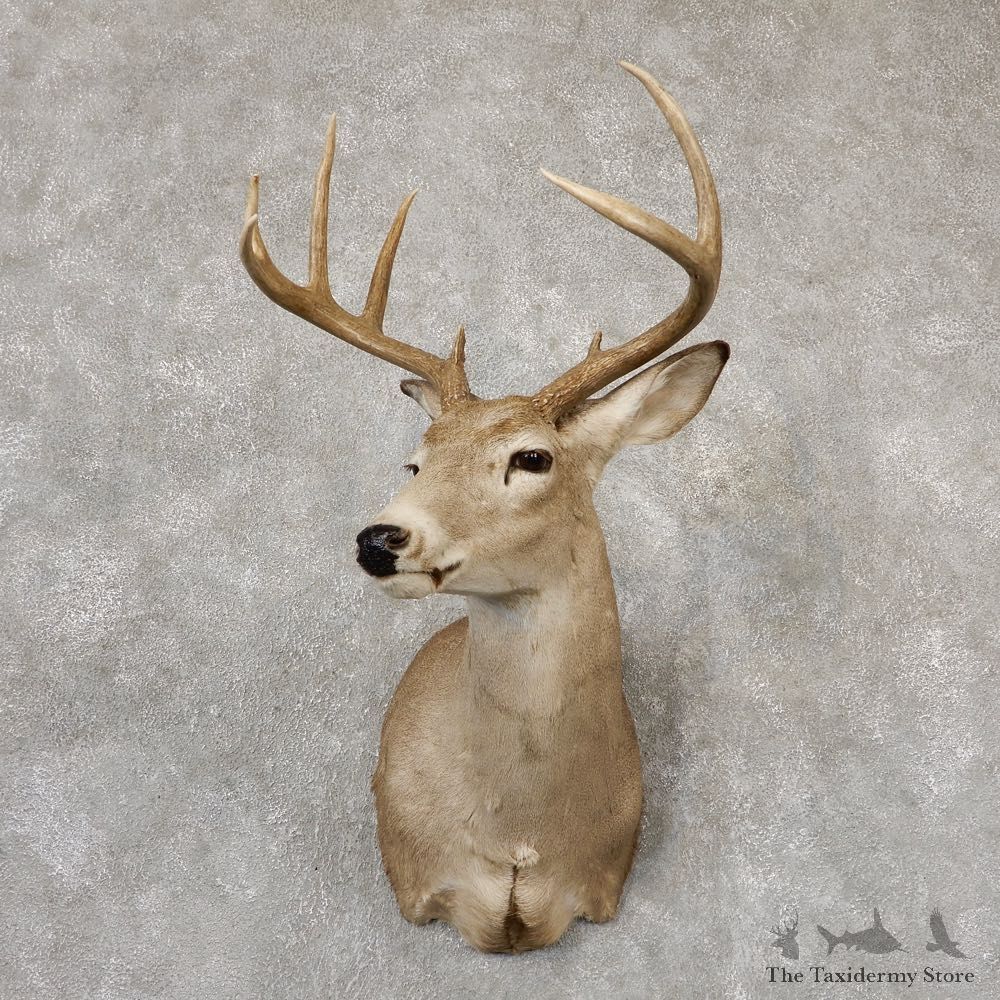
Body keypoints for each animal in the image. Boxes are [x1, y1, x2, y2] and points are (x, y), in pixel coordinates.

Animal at [238, 61, 727, 953]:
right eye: (416, 458)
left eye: (532, 457)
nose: (380, 538)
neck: (519, 839)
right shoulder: (419, 881)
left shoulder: (599, 883)